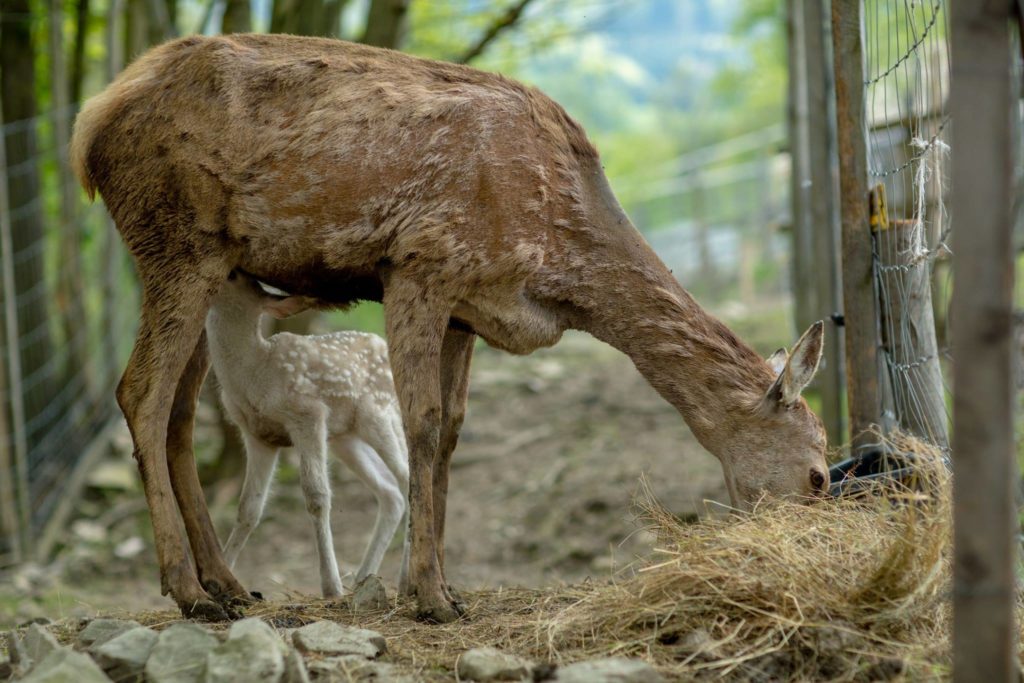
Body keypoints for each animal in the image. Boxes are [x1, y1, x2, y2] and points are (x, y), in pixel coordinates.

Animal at [70, 33, 823, 626]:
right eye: (818, 474)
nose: (794, 544)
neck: (561, 266)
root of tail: (88, 129)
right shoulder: (421, 262)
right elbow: (424, 425)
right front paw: (429, 597)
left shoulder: (469, 307)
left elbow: (454, 433)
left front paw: (434, 584)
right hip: (175, 241)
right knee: (140, 392)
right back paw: (188, 591)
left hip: (205, 264)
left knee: (179, 410)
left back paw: (228, 585)